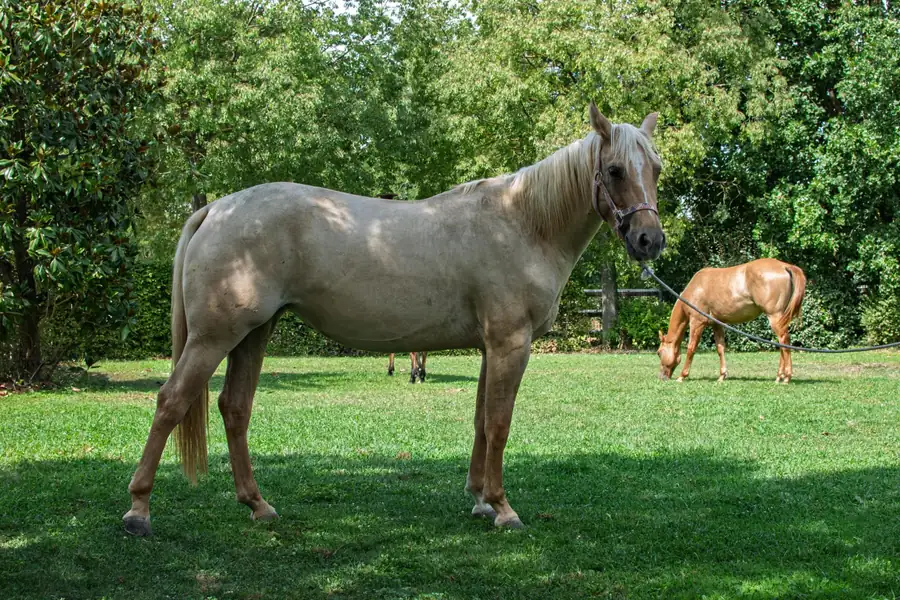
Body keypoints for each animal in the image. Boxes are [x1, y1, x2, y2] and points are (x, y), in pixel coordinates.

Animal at [122, 102, 665, 536]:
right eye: (615, 169)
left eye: (656, 168)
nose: (650, 241)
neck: (523, 223)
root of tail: (217, 209)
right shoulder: (511, 343)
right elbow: (500, 423)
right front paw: (504, 508)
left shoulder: (490, 347)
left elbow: (480, 422)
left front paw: (480, 501)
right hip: (214, 337)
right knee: (171, 402)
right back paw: (138, 511)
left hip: (254, 334)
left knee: (234, 409)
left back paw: (258, 505)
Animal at [657, 258, 806, 383]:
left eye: (658, 353)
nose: (661, 377)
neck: (696, 289)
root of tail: (784, 266)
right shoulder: (716, 324)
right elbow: (720, 348)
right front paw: (722, 376)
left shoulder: (697, 322)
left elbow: (691, 348)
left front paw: (682, 376)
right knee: (782, 343)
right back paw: (779, 376)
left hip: (774, 316)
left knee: (784, 340)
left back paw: (786, 377)